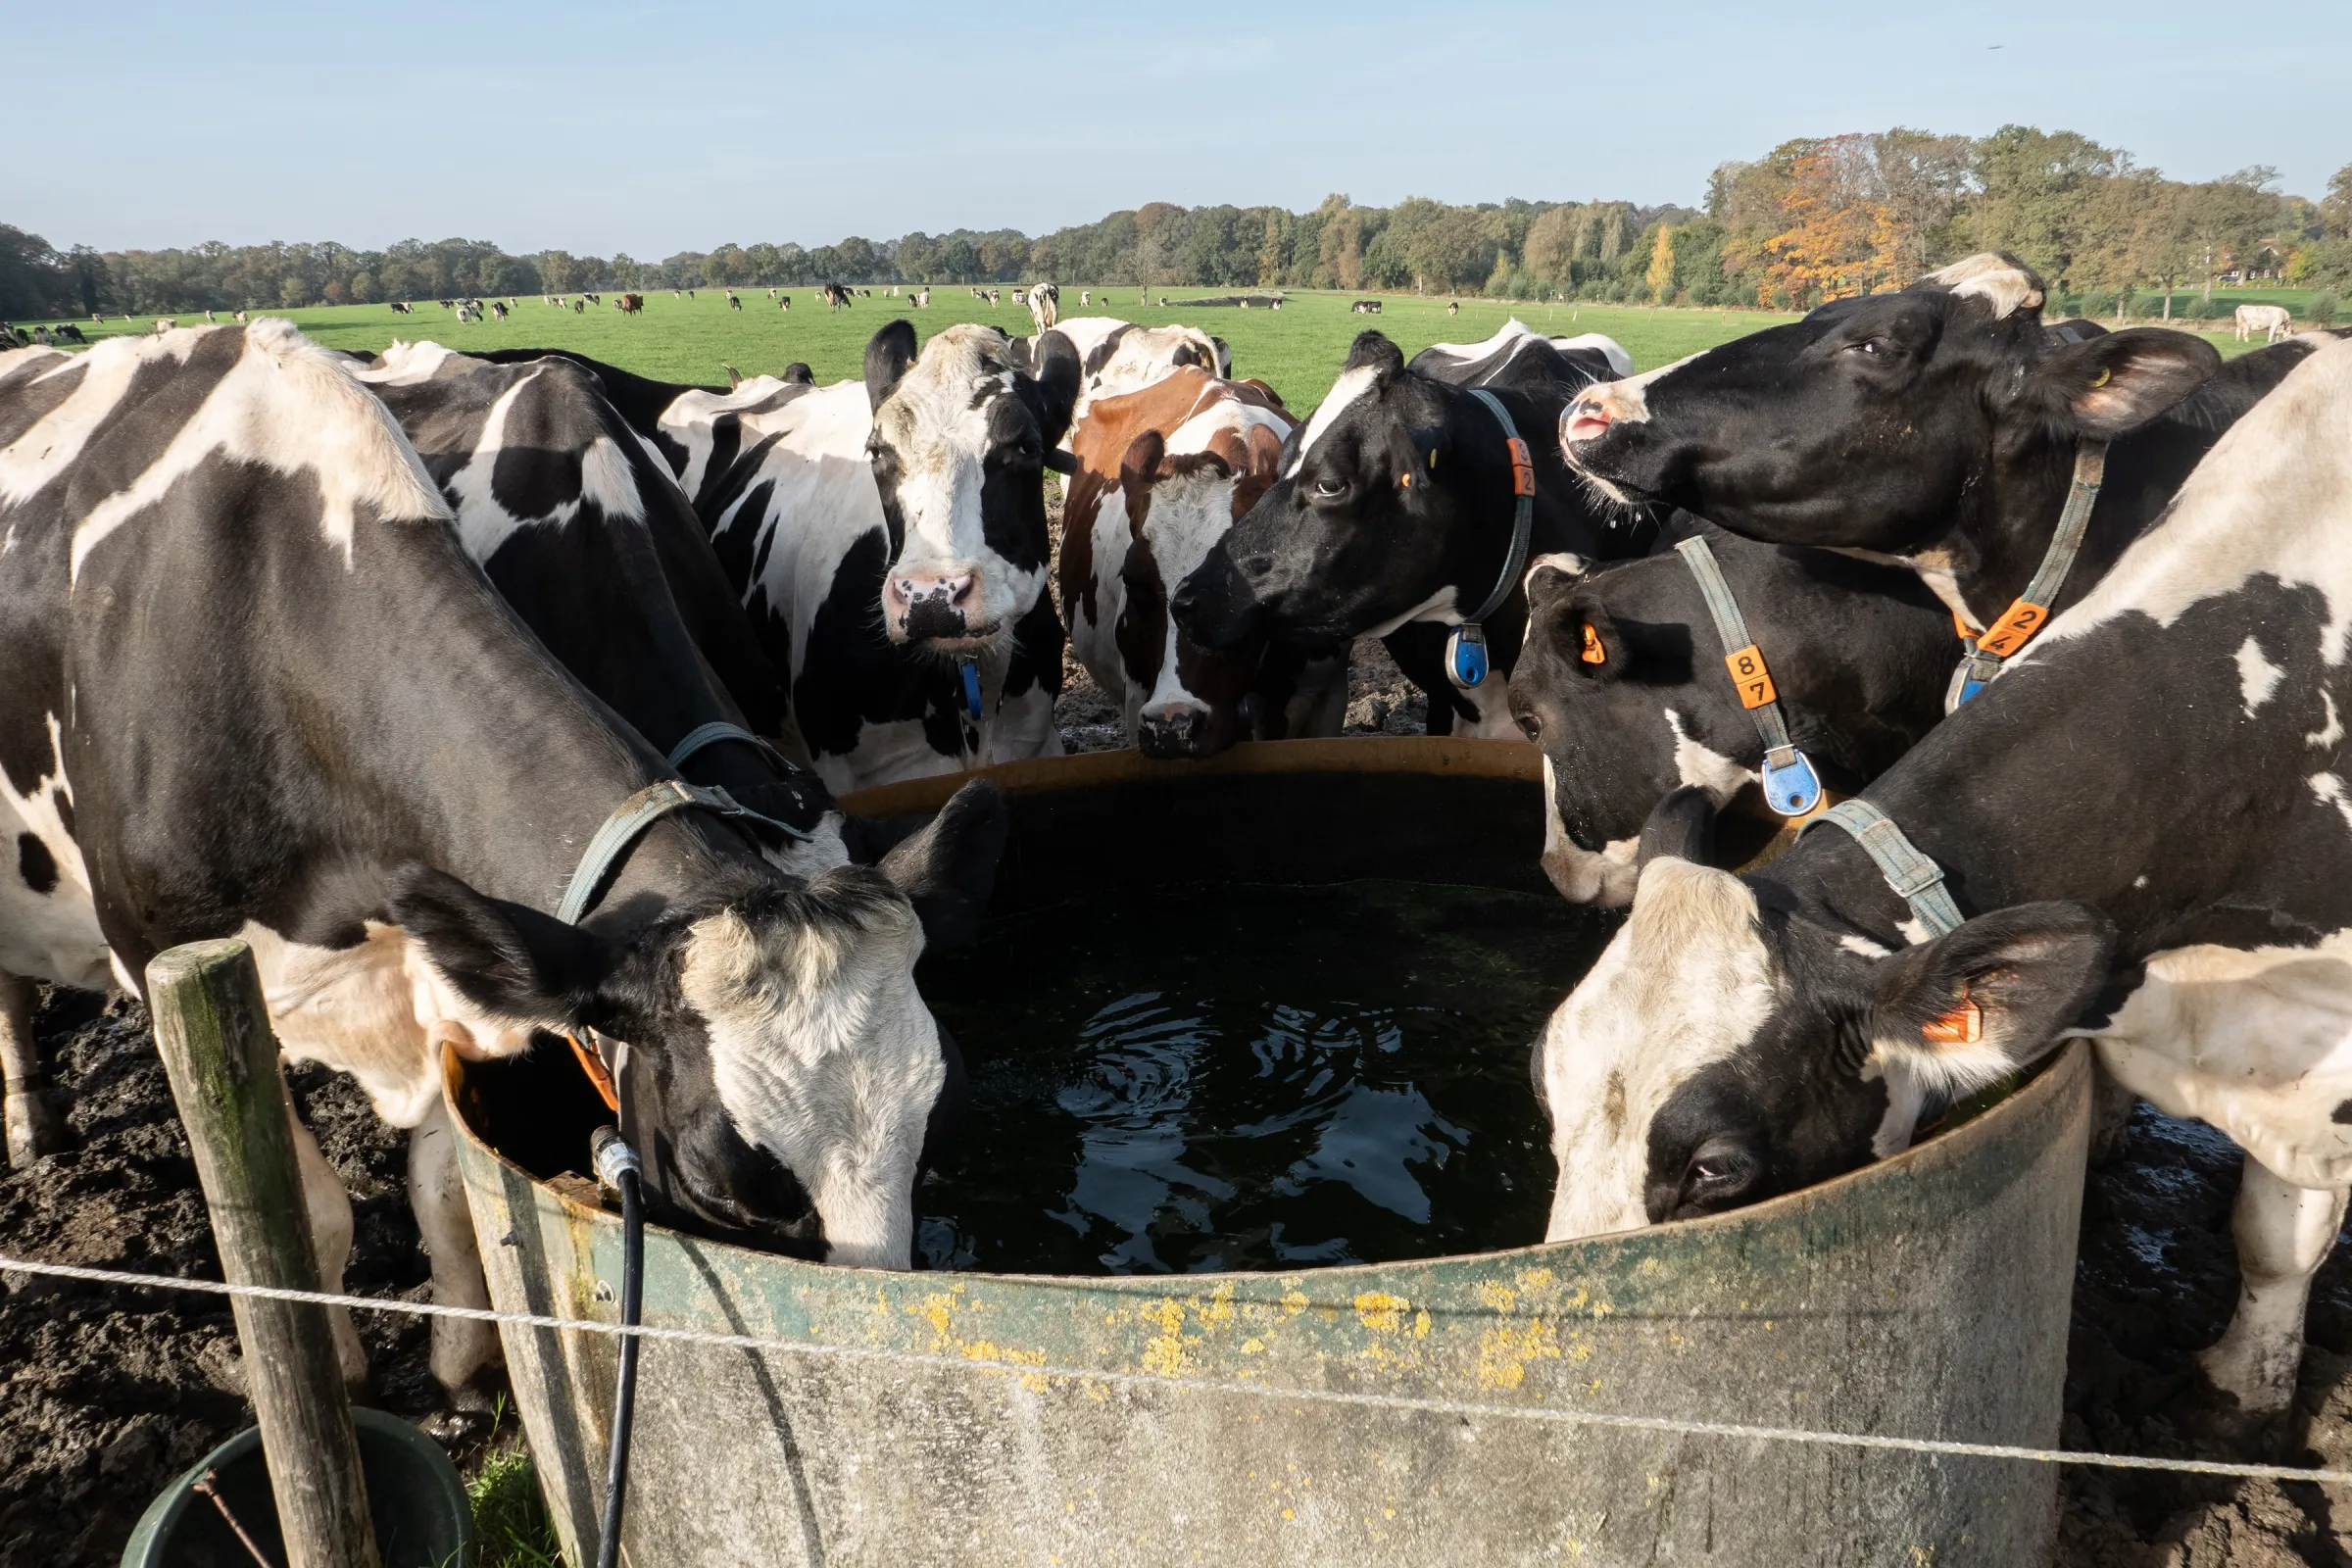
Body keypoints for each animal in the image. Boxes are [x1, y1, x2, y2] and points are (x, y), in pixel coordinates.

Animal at [0, 324, 971, 1404]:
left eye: (931, 1125)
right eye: (726, 1188)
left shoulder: (444, 953)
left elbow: (445, 1188)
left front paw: (466, 1359)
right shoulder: (175, 971)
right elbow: (306, 1214)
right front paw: (341, 1373)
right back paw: (31, 1121)